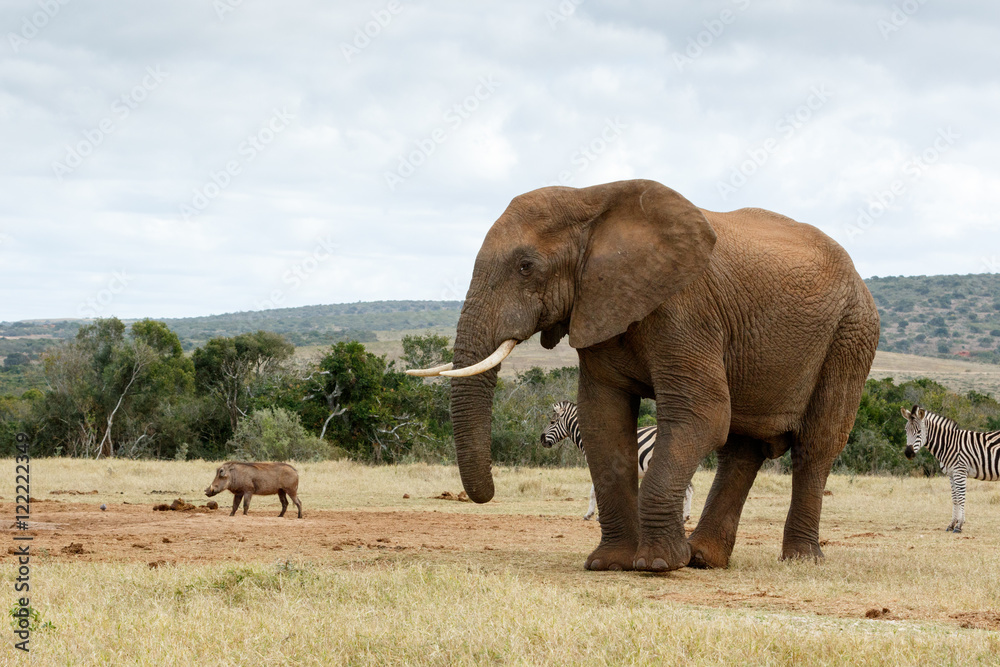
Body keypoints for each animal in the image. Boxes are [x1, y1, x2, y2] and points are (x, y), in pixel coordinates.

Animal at [407, 179, 879, 572]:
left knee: (815, 447)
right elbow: (604, 420)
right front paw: (608, 564)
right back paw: (703, 558)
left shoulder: (685, 309)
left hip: (852, 334)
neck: (592, 201)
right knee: (741, 450)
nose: (486, 495)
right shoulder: (598, 305)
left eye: (526, 266)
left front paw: (656, 564)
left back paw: (799, 561)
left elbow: (701, 414)